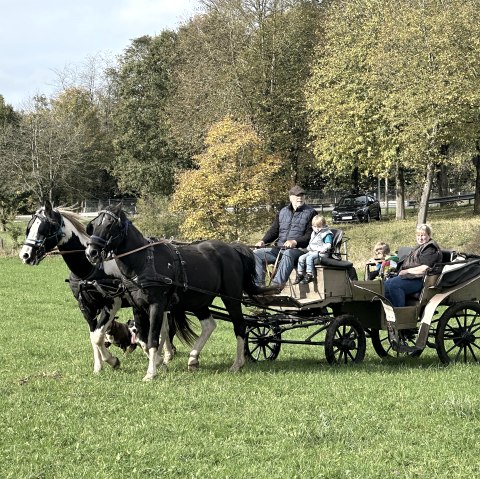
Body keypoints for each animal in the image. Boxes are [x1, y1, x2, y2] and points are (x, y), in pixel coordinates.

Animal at [20, 202, 193, 376]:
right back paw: (166, 355)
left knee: (163, 328)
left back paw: (163, 357)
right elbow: (94, 335)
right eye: (29, 228)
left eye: (46, 228)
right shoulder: (86, 307)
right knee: (163, 327)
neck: (91, 269)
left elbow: (101, 335)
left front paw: (113, 360)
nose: (25, 255)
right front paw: (99, 366)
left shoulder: (112, 304)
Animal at [84, 204, 268, 380]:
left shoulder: (156, 305)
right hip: (198, 301)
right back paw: (193, 359)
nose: (91, 252)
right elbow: (141, 338)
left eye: (110, 224)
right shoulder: (137, 307)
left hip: (231, 298)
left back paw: (237, 364)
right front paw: (157, 364)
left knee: (240, 325)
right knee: (209, 325)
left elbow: (152, 339)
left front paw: (151, 373)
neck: (143, 262)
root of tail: (233, 249)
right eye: (94, 224)